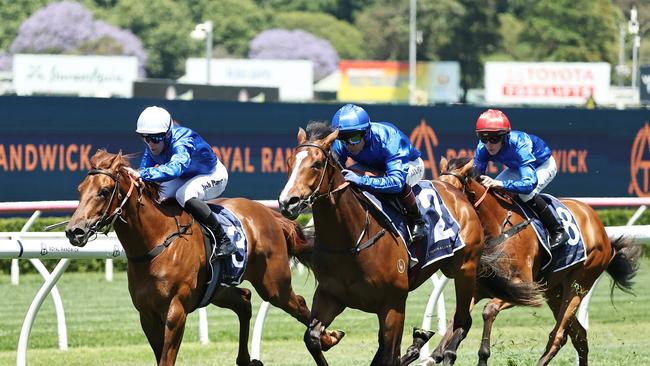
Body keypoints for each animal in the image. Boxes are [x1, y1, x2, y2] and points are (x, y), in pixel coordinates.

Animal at [64, 149, 318, 366]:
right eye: (80, 189)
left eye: (104, 191)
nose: (74, 231)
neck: (157, 243)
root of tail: (270, 215)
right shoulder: (147, 315)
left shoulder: (176, 312)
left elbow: (166, 359)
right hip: (219, 290)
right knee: (245, 300)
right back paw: (247, 359)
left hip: (274, 285)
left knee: (299, 304)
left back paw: (323, 338)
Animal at [276, 125, 540, 366]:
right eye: (289, 162)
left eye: (317, 164)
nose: (288, 202)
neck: (351, 241)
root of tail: (458, 194)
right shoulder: (330, 296)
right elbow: (312, 338)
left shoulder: (393, 305)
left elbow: (388, 358)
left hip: (465, 269)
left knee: (463, 321)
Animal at [436, 157, 636, 366]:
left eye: (452, 190)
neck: (498, 226)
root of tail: (601, 230)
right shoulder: (480, 288)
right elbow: (457, 317)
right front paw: (440, 353)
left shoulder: (524, 287)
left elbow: (488, 310)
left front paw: (480, 355)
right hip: (554, 291)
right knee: (579, 335)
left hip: (579, 283)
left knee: (558, 335)